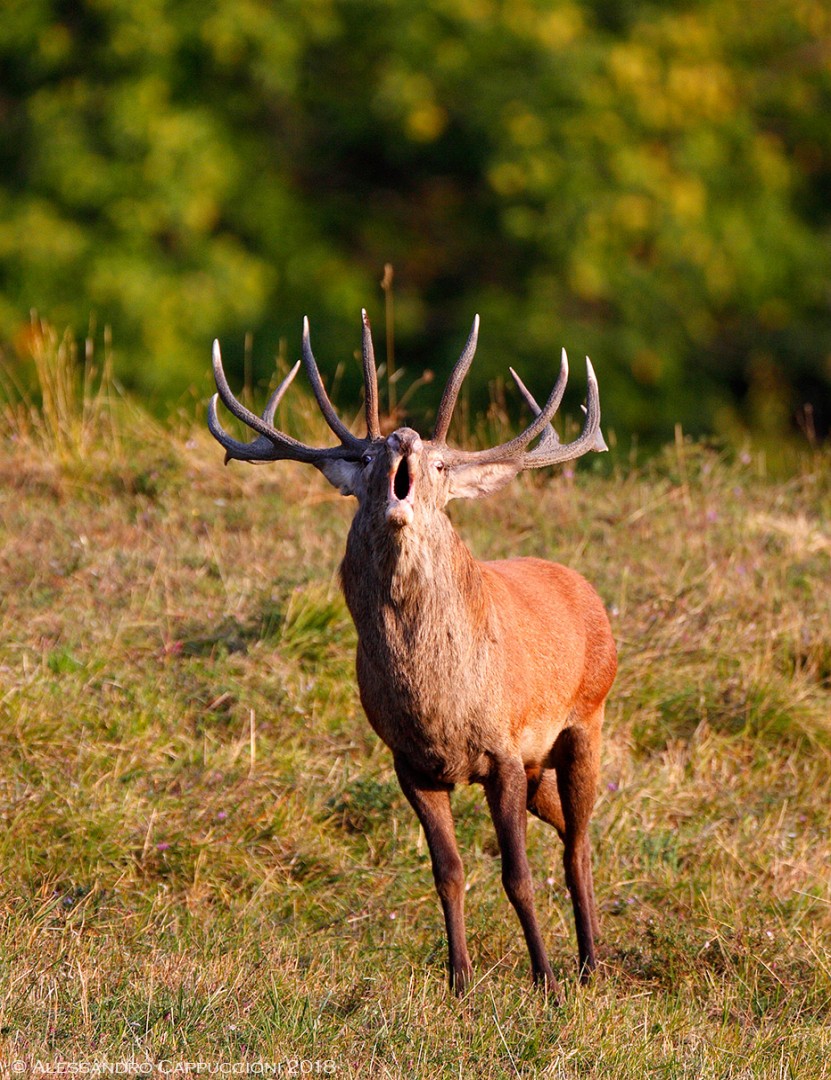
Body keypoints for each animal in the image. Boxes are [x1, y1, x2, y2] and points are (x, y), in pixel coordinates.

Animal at [208, 310, 617, 998]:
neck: (438, 710)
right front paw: (460, 982)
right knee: (564, 824)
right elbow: (447, 873)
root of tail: (586, 589)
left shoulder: (503, 749)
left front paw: (545, 982)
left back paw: (589, 964)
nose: (400, 437)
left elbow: (517, 876)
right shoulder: (411, 764)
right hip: (541, 763)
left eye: (441, 465)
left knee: (579, 841)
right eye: (365, 456)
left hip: (586, 718)